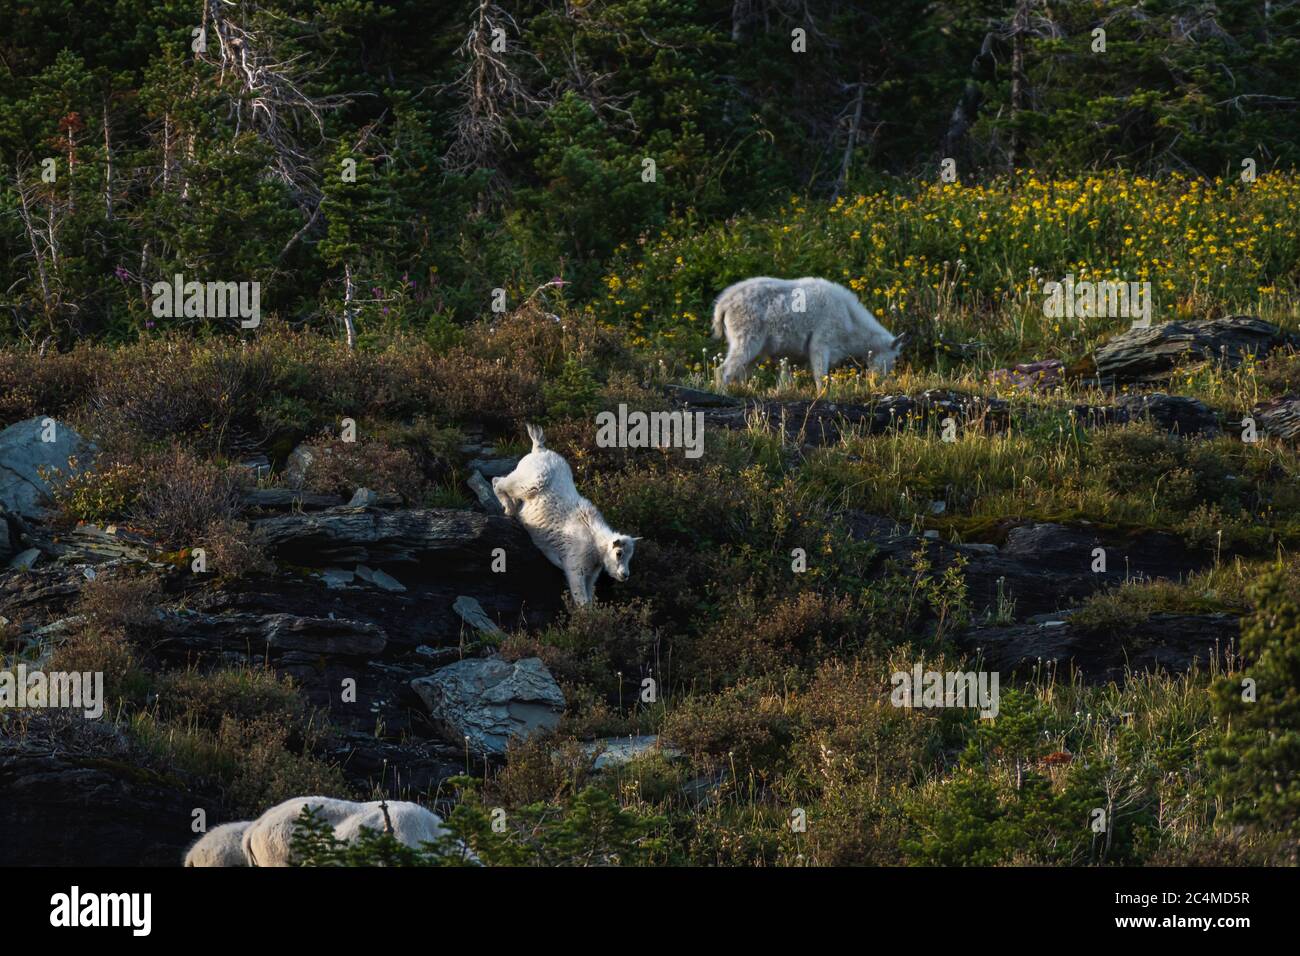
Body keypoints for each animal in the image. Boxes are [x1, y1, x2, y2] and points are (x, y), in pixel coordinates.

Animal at [488, 426, 637, 606]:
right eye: (619, 553)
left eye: (630, 556)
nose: (625, 575)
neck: (596, 543)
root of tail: (539, 449)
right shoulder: (576, 565)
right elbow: (581, 597)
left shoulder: (591, 574)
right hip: (528, 482)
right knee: (498, 481)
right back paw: (508, 508)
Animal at [712, 274, 904, 387]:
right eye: (895, 357)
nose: (880, 382)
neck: (851, 322)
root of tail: (723, 305)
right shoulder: (821, 343)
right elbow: (820, 375)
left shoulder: (791, 356)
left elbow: (785, 379)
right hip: (746, 338)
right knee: (724, 370)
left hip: (756, 349)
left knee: (741, 372)